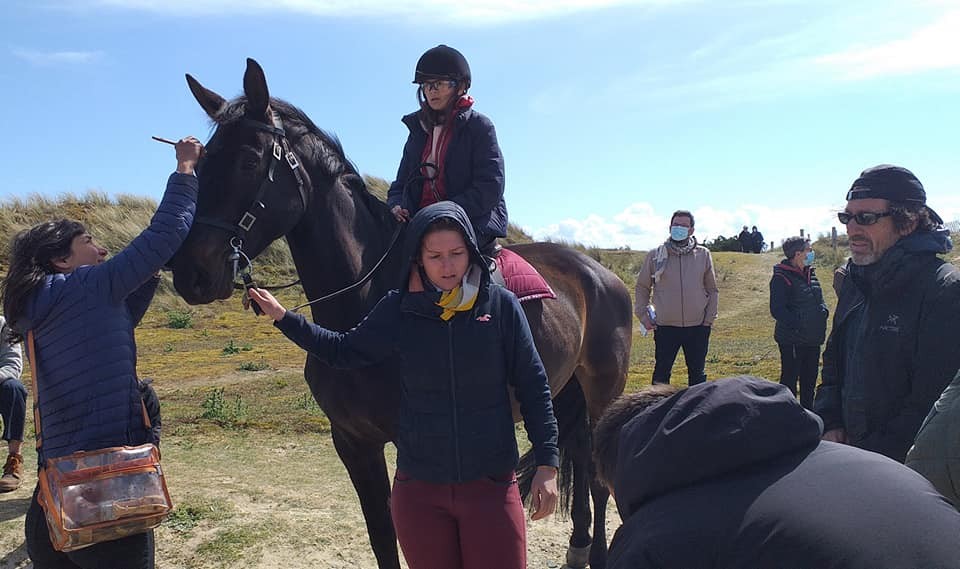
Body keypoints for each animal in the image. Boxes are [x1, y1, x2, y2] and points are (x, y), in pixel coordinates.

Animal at [167, 58, 632, 568]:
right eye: (200, 161)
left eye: (250, 161)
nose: (189, 272)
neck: (361, 309)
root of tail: (598, 272)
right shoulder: (353, 442)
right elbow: (382, 535)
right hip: (565, 386)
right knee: (576, 452)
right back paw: (579, 544)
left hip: (602, 388)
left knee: (596, 474)